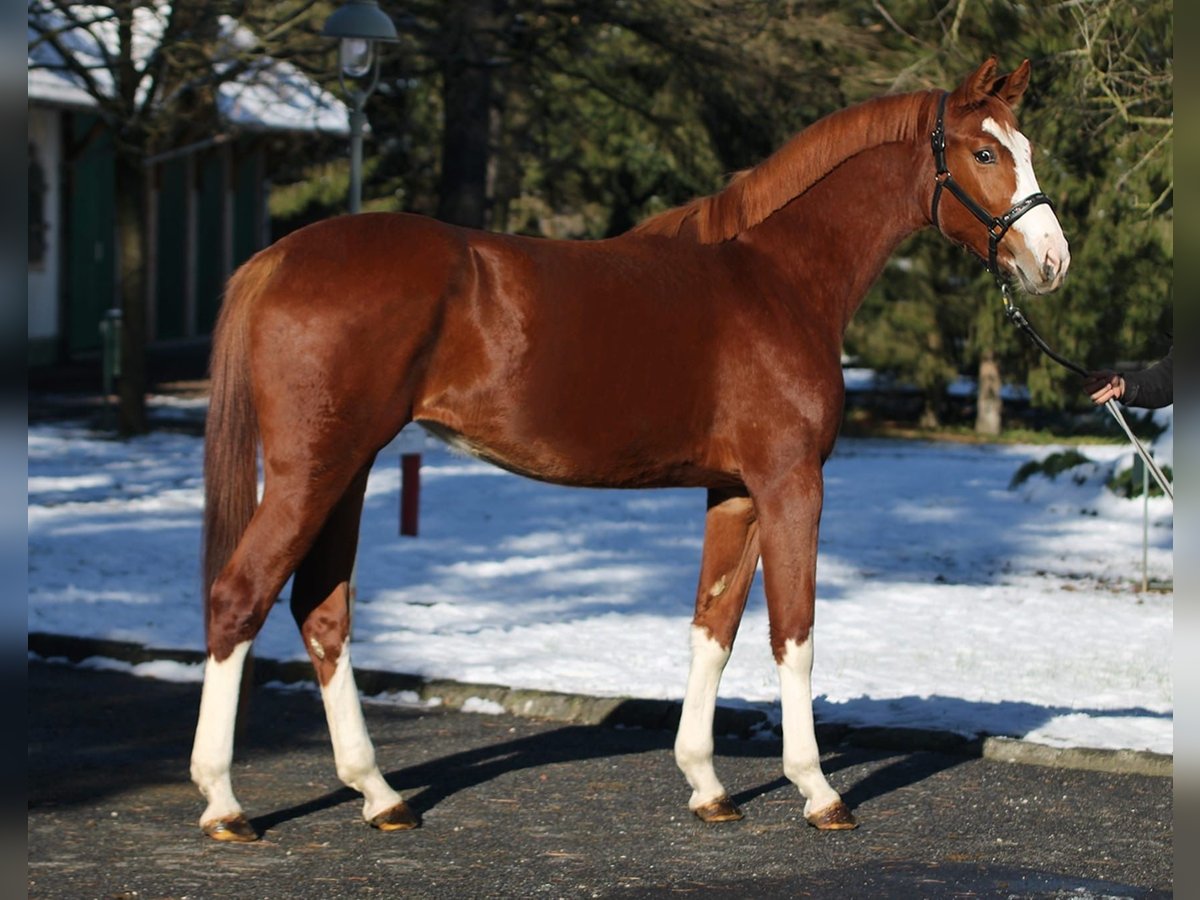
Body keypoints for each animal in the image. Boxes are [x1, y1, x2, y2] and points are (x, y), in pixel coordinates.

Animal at [194, 60, 1070, 844]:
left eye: (1027, 147)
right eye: (984, 153)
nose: (1052, 261)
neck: (779, 279)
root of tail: (276, 258)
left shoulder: (735, 492)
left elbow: (713, 627)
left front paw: (707, 786)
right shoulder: (790, 483)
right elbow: (794, 633)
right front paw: (818, 791)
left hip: (346, 471)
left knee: (321, 611)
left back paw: (379, 795)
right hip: (314, 471)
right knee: (240, 596)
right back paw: (225, 803)